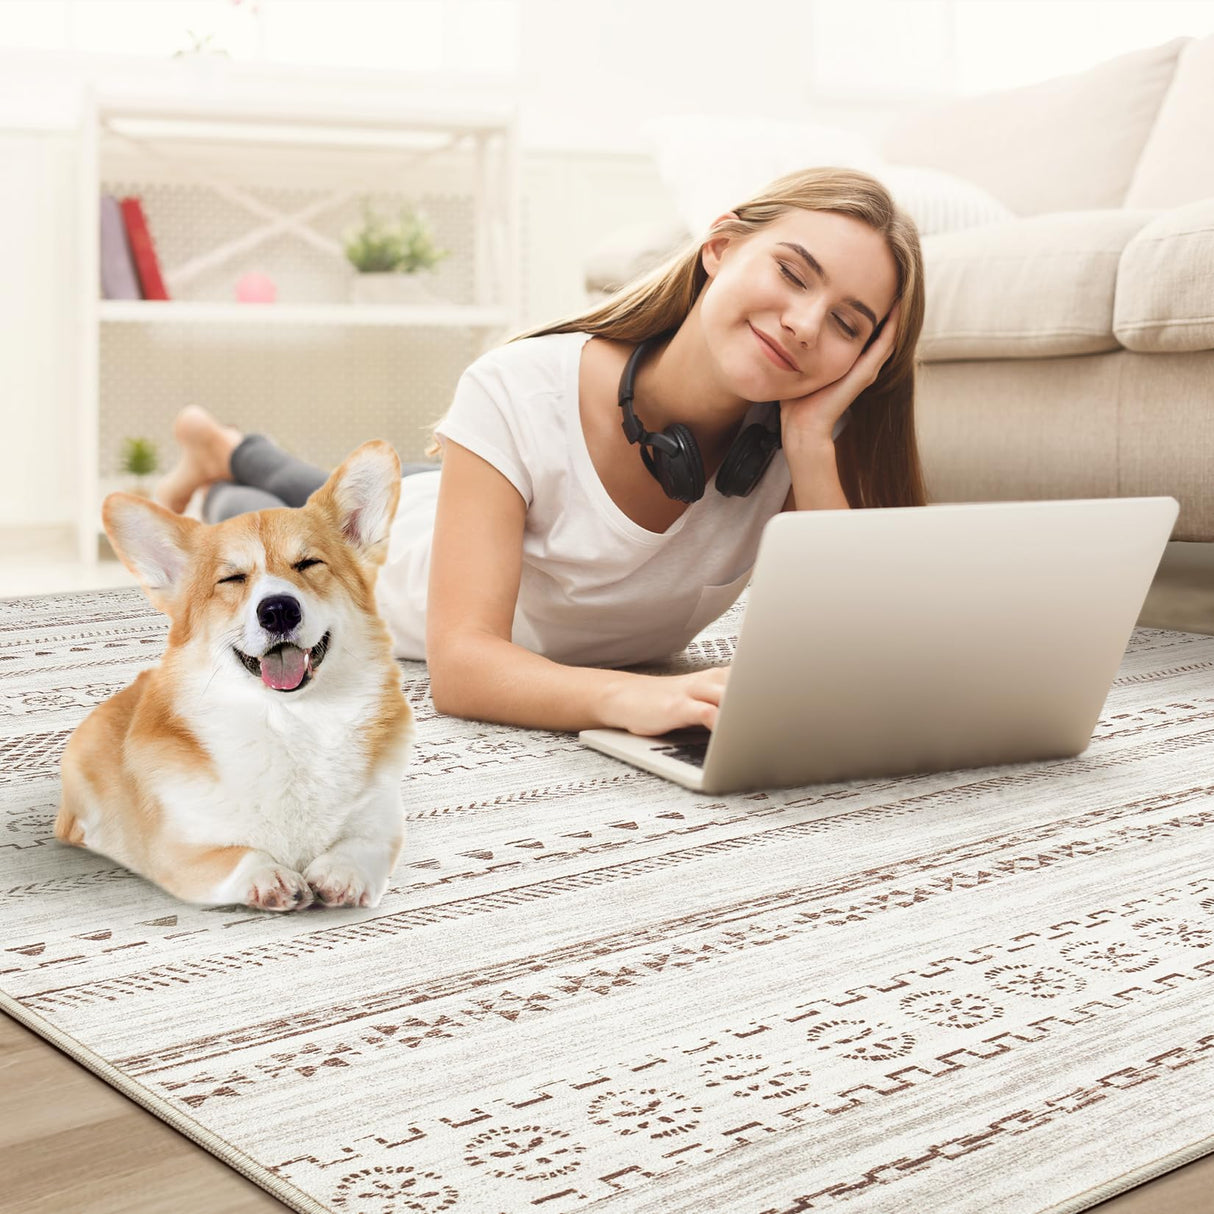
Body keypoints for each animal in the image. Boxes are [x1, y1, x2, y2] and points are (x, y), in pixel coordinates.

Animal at [54, 439, 415, 912]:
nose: (278, 609)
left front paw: (342, 873)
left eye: (308, 563)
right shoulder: (178, 850)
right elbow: (237, 856)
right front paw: (271, 876)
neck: (290, 721)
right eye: (232, 578)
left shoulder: (383, 819)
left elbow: (363, 844)